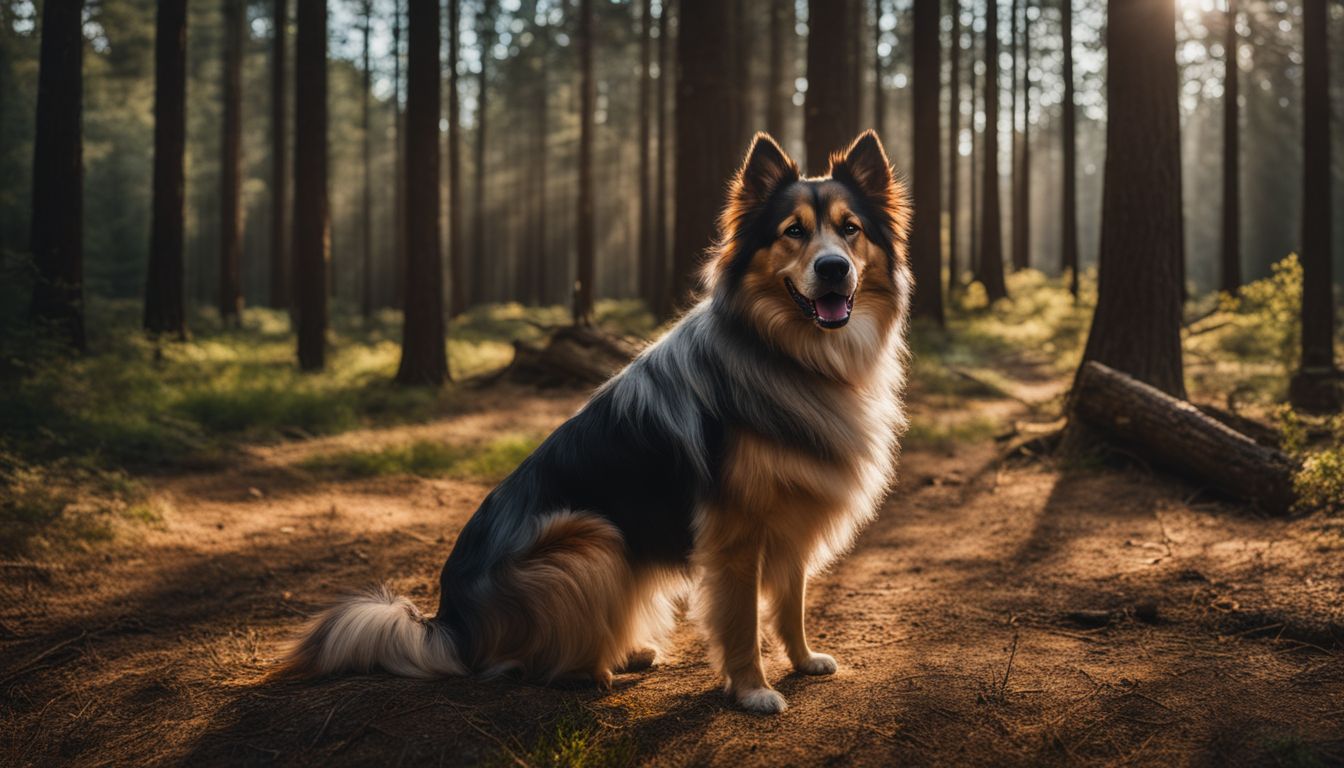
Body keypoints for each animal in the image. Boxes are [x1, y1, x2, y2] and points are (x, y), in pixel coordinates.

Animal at [270, 129, 913, 710]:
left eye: (850, 229)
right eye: (793, 232)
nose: (833, 269)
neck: (792, 355)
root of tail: (449, 623)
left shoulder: (794, 515)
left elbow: (791, 602)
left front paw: (803, 661)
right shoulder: (735, 535)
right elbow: (741, 621)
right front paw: (752, 689)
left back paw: (626, 652)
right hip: (590, 538)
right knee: (519, 661)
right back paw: (587, 669)